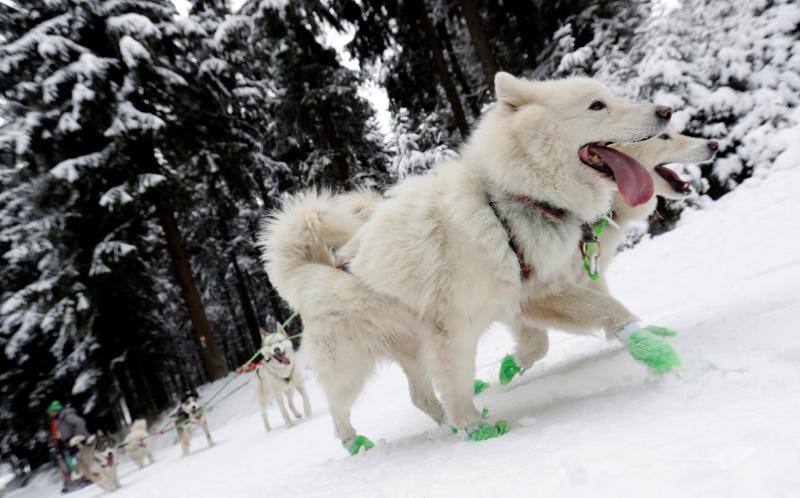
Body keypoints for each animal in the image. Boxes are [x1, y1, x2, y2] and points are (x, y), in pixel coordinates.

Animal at [260, 190, 444, 452]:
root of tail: (307, 272)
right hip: (349, 370)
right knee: (338, 414)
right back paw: (356, 445)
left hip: (410, 348)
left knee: (421, 397)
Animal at [340, 72, 676, 430]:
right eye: (597, 105)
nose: (666, 110)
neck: (506, 205)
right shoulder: (452, 325)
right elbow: (455, 383)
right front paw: (473, 427)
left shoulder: (535, 294)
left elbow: (608, 309)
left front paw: (648, 345)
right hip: (354, 363)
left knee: (420, 393)